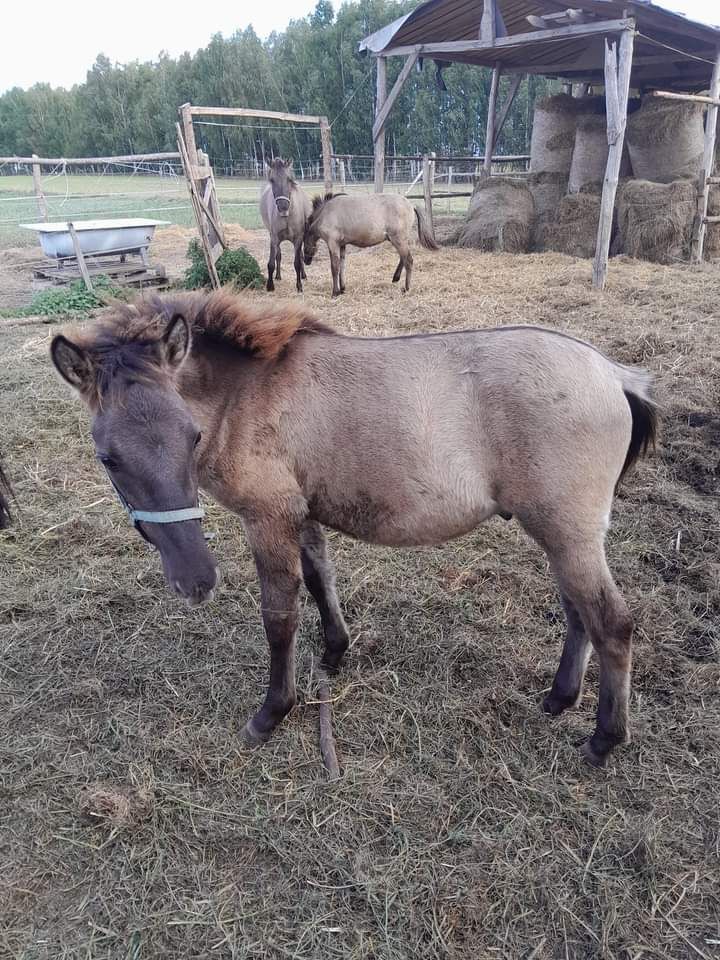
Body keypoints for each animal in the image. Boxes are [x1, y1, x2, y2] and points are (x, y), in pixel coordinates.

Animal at [50, 288, 660, 768]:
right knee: (577, 612)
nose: (196, 581)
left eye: (191, 436)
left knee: (612, 622)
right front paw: (335, 654)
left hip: (567, 533)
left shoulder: (267, 518)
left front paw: (271, 713)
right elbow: (322, 579)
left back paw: (604, 740)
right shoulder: (301, 514)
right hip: (561, 535)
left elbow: (279, 616)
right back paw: (559, 698)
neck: (248, 391)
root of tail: (613, 374)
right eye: (108, 457)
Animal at [260, 158, 314, 294]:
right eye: (272, 180)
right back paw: (278, 276)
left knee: (300, 256)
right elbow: (271, 263)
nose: (283, 206)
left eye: (289, 179)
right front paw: (270, 285)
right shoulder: (274, 238)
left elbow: (297, 262)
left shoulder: (298, 239)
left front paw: (299, 286)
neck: (287, 216)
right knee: (278, 255)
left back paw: (303, 275)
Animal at [304, 194, 438, 296]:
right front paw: (342, 288)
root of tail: (411, 204)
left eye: (303, 242)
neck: (325, 213)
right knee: (403, 258)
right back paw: (396, 278)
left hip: (398, 239)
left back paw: (406, 288)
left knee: (408, 260)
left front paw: (335, 292)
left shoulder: (333, 243)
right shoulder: (342, 245)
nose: (306, 261)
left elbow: (334, 267)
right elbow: (342, 265)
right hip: (399, 240)